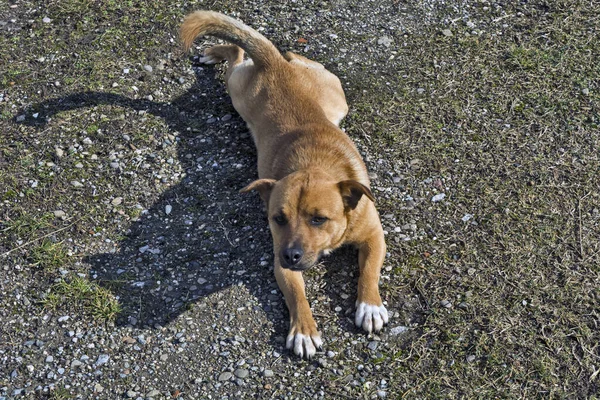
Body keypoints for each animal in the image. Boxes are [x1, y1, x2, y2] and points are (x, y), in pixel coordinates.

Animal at [180, 10, 390, 358]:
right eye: (278, 218)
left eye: (319, 219)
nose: (291, 254)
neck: (315, 166)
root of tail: (275, 64)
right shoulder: (282, 262)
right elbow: (296, 295)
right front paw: (303, 329)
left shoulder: (374, 234)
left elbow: (370, 270)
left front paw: (369, 305)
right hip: (239, 92)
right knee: (239, 54)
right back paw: (217, 52)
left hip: (333, 101)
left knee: (280, 56)